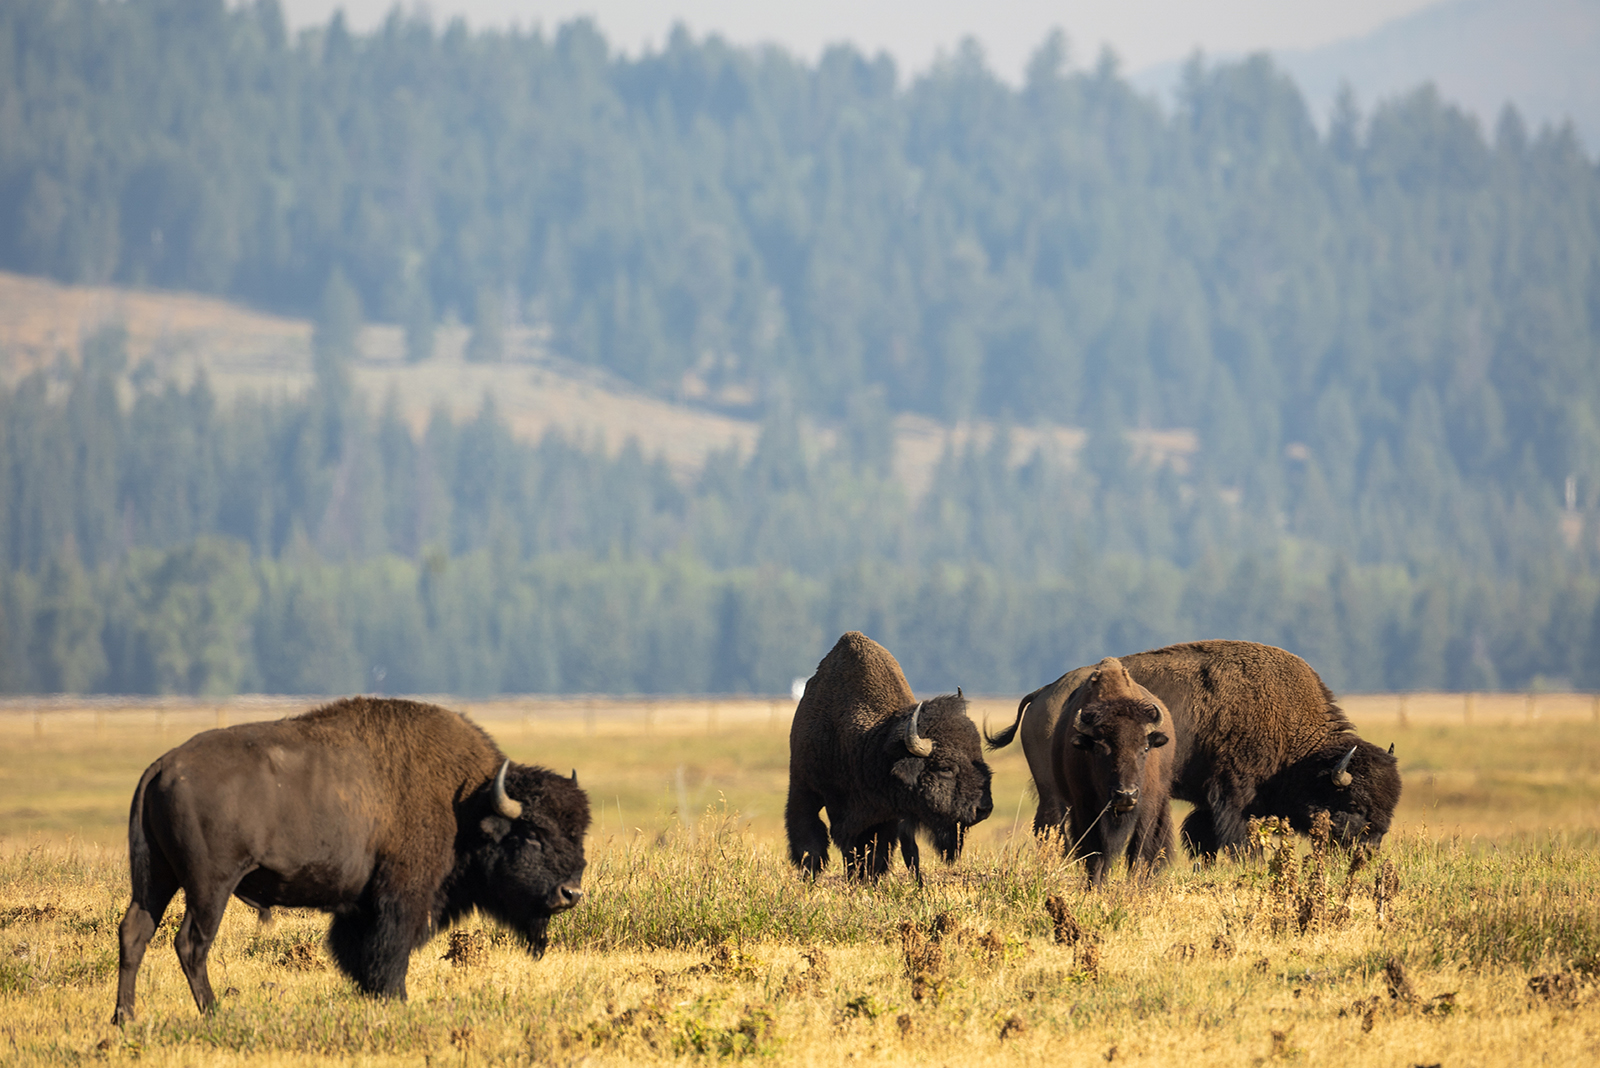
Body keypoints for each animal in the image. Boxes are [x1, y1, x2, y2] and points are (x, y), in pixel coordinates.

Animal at [112, 697, 592, 1023]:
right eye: (532, 835)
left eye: (578, 832)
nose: (570, 893)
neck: (468, 804)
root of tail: (163, 765)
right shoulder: (404, 896)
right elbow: (390, 953)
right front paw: (396, 1001)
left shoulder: (360, 907)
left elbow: (358, 955)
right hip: (210, 884)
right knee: (191, 942)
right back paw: (214, 1013)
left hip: (156, 876)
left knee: (135, 931)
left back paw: (125, 1018)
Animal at [784, 629, 992, 882]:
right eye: (945, 768)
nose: (984, 808)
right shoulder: (817, 793)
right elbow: (819, 843)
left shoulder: (887, 814)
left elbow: (880, 850)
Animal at [985, 642, 1401, 856]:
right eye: (1354, 806)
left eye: (1388, 807)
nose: (1369, 852)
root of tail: (1044, 693)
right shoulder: (1233, 796)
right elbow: (1236, 838)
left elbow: (1200, 835)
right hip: (1055, 793)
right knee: (1050, 828)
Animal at [1049, 658, 1177, 882]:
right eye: (1099, 748)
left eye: (1145, 748)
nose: (1125, 795)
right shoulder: (1084, 809)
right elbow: (1095, 855)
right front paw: (1095, 886)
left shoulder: (1147, 806)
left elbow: (1138, 851)